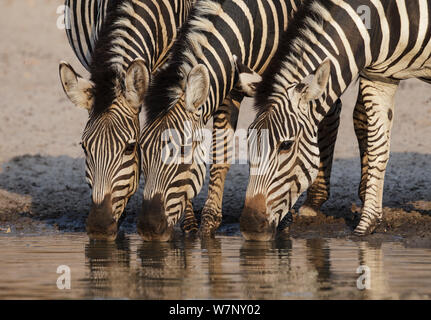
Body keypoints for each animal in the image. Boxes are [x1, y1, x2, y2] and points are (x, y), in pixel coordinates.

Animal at [138, 0, 344, 240]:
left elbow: (225, 156)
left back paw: (315, 199)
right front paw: (194, 226)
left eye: (184, 150)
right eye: (141, 149)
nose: (149, 228)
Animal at [238, 0, 430, 240]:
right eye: (247, 143)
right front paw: (366, 225)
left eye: (286, 145)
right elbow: (377, 148)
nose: (250, 226)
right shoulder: (380, 77)